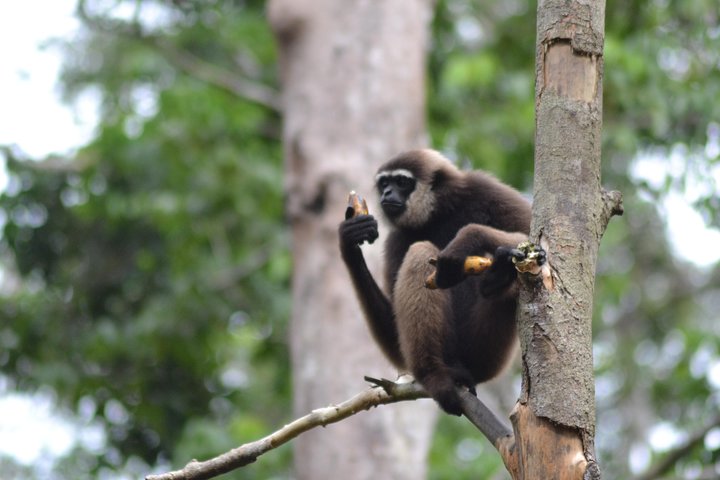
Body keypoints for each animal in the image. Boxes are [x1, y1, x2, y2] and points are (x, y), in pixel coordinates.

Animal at [338, 149, 543, 416]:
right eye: (384, 183)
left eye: (401, 182)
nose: (387, 193)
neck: (438, 213)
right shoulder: (396, 238)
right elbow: (395, 335)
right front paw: (350, 242)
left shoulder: (483, 188)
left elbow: (535, 242)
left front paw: (467, 239)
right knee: (420, 251)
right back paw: (435, 375)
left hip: (485, 355)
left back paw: (497, 276)